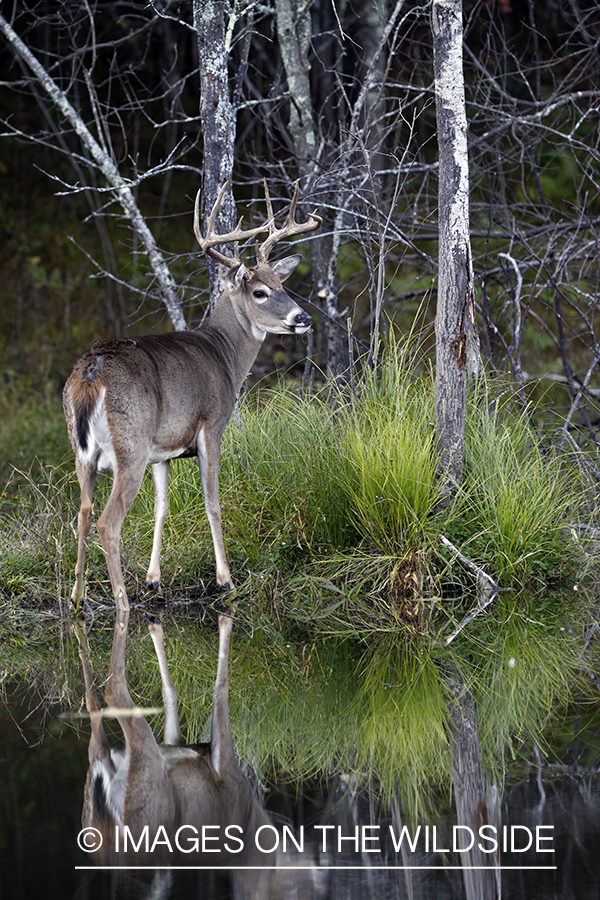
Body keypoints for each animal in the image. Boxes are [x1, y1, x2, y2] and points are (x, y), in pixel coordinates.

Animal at [63, 179, 322, 608]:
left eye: (282, 285)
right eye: (260, 292)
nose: (303, 318)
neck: (224, 355)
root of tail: (92, 372)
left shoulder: (163, 450)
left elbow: (162, 507)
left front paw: (153, 580)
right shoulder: (211, 425)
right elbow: (212, 501)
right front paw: (225, 579)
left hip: (82, 450)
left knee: (83, 512)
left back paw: (77, 597)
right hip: (130, 445)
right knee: (107, 521)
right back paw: (121, 602)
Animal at [75, 608, 324, 896]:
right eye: (293, 890)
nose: (319, 866)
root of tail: (104, 827)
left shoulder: (174, 743)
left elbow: (170, 693)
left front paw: (156, 624)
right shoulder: (227, 768)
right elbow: (221, 688)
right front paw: (226, 614)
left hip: (101, 763)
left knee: (93, 706)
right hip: (148, 781)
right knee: (113, 692)